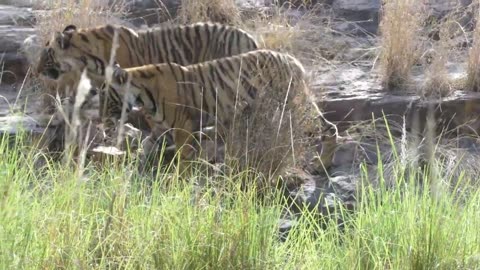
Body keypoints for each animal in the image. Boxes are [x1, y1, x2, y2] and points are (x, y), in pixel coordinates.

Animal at [35, 21, 260, 127]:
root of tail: (250, 38)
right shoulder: (96, 83)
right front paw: (53, 118)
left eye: (46, 55)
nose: (36, 72)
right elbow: (73, 101)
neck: (87, 60)